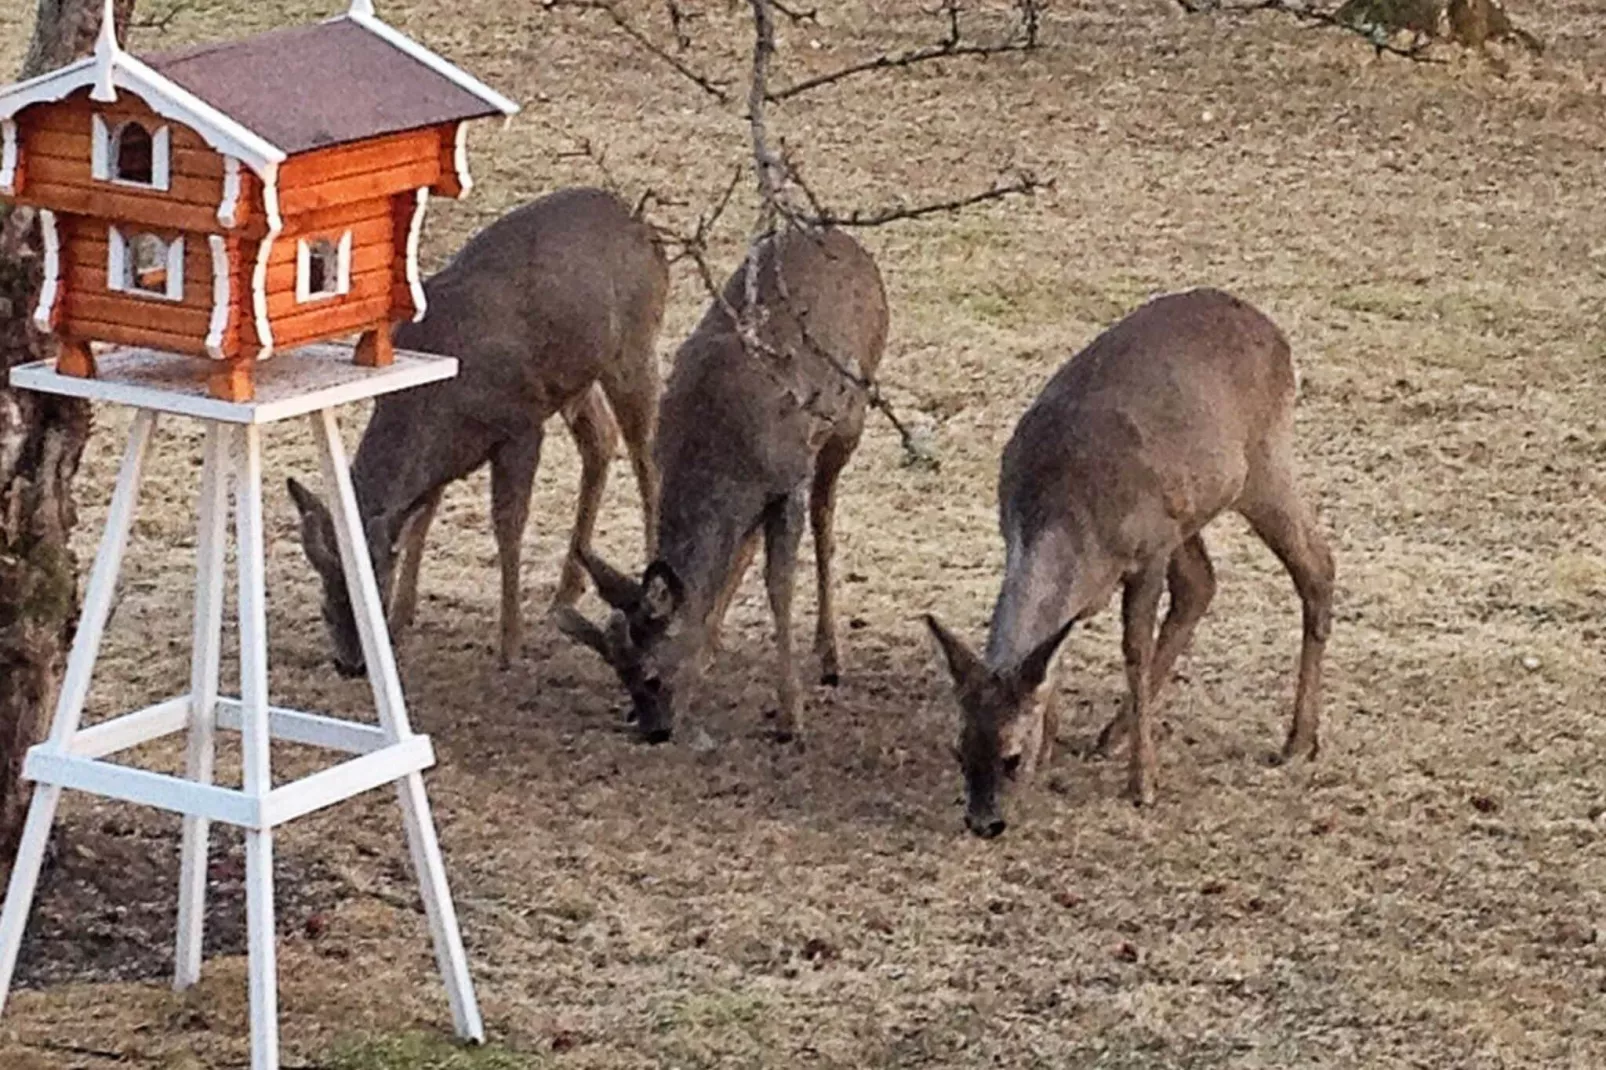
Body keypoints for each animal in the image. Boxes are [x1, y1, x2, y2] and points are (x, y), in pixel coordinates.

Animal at [287, 187, 664, 671]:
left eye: (377, 579)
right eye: (323, 589)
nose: (351, 662)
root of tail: (643, 225)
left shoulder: (521, 422)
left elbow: (508, 526)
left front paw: (509, 645)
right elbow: (423, 515)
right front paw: (403, 619)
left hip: (636, 344)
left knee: (645, 455)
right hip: (575, 379)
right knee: (600, 440)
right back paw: (566, 591)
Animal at [558, 224, 892, 742]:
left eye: (651, 676)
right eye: (620, 675)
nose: (654, 731)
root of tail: (844, 239)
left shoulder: (787, 481)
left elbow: (779, 586)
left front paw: (790, 716)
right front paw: (704, 657)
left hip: (851, 412)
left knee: (825, 513)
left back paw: (830, 657)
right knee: (750, 542)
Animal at [925, 287, 1336, 835]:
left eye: (1010, 757)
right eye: (959, 749)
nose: (983, 822)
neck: (1066, 514)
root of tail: (1272, 331)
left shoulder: (1148, 550)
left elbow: (1134, 649)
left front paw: (1143, 784)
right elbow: (1057, 651)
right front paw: (1054, 746)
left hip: (1262, 463)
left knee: (1316, 564)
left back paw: (1298, 741)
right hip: (1190, 507)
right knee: (1203, 584)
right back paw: (1111, 734)